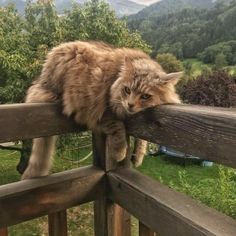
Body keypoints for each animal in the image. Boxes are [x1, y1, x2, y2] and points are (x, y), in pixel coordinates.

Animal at [21, 40, 181, 179]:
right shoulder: (105, 112)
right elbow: (119, 130)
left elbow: (142, 139)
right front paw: (120, 153)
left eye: (145, 96)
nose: (129, 104)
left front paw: (138, 156)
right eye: (127, 90)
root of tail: (42, 79)